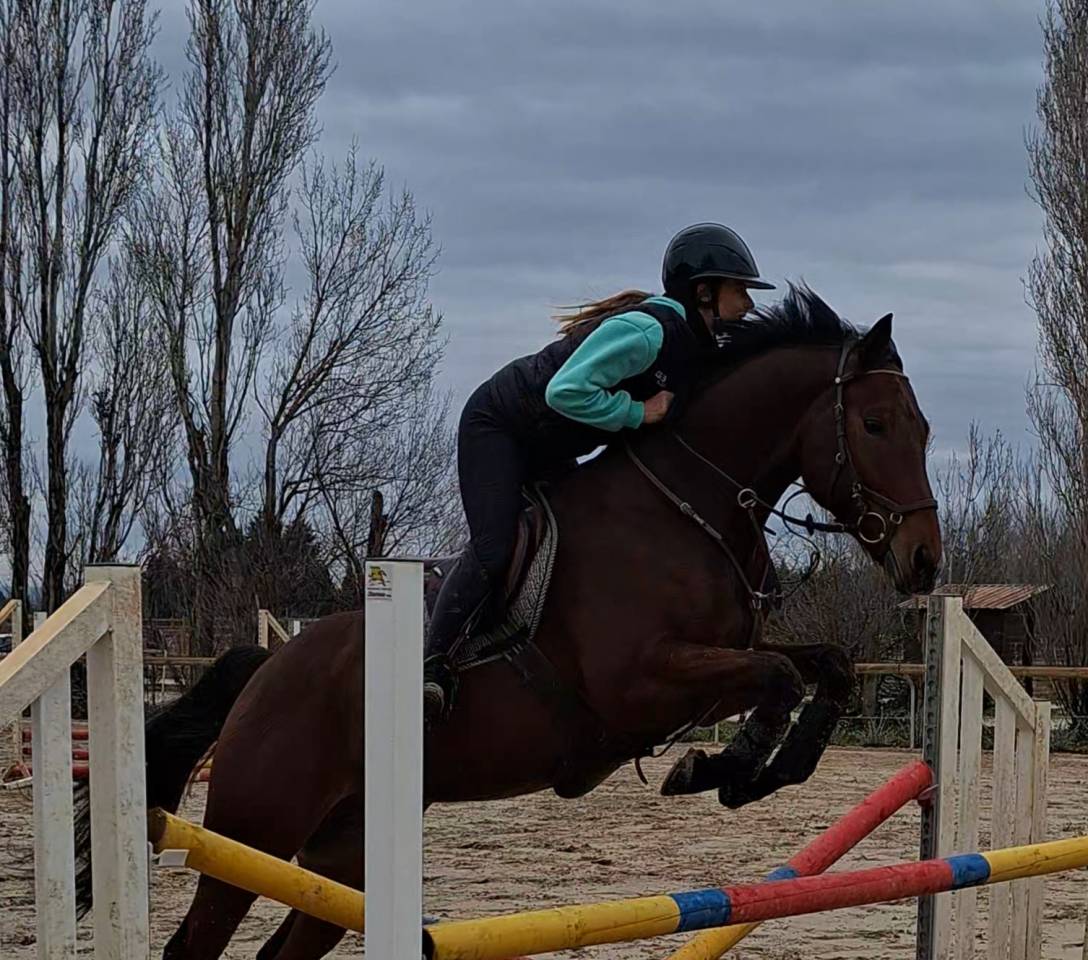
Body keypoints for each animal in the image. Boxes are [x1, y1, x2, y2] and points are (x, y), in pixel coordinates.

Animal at [78, 284, 941, 958]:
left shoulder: (714, 666)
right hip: (254, 827)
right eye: (874, 425)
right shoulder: (642, 683)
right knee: (195, 943)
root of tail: (267, 670)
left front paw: (759, 771)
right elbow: (781, 673)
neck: (689, 504)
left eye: (924, 427)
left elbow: (823, 665)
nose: (927, 561)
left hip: (344, 853)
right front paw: (717, 770)